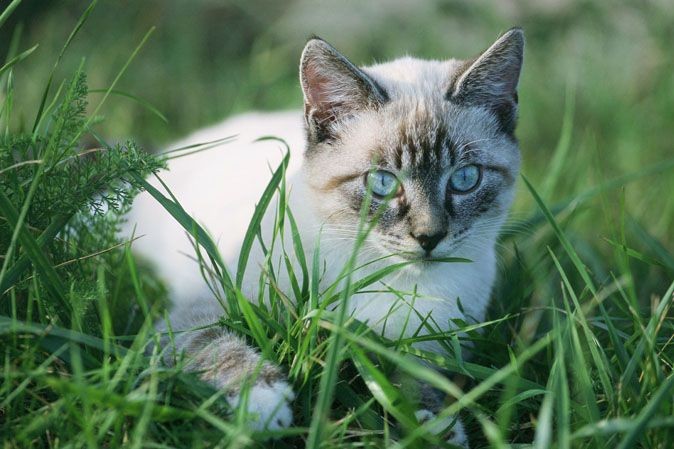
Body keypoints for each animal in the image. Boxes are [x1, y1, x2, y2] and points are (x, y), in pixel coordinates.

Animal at [127, 27, 524, 444]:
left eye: (465, 179)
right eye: (383, 183)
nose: (429, 237)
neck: (388, 281)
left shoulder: (424, 346)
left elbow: (412, 384)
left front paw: (434, 429)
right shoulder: (196, 311)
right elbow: (215, 346)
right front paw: (263, 402)